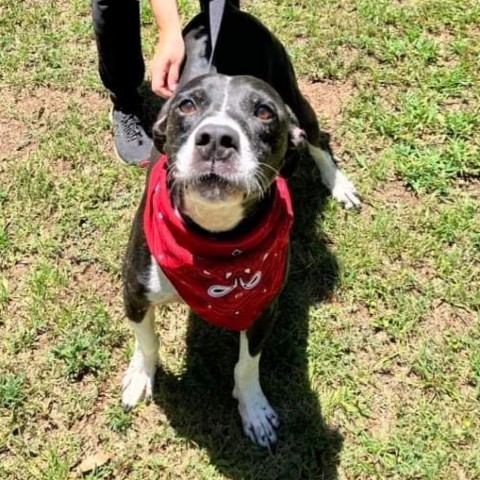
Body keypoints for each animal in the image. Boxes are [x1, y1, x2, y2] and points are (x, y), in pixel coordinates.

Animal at [120, 1, 360, 448]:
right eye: (186, 106)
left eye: (263, 112)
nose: (216, 138)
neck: (214, 236)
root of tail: (225, 12)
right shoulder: (135, 293)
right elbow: (147, 341)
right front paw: (141, 376)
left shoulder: (262, 307)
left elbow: (247, 365)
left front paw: (254, 409)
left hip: (296, 96)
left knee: (317, 139)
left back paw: (338, 183)